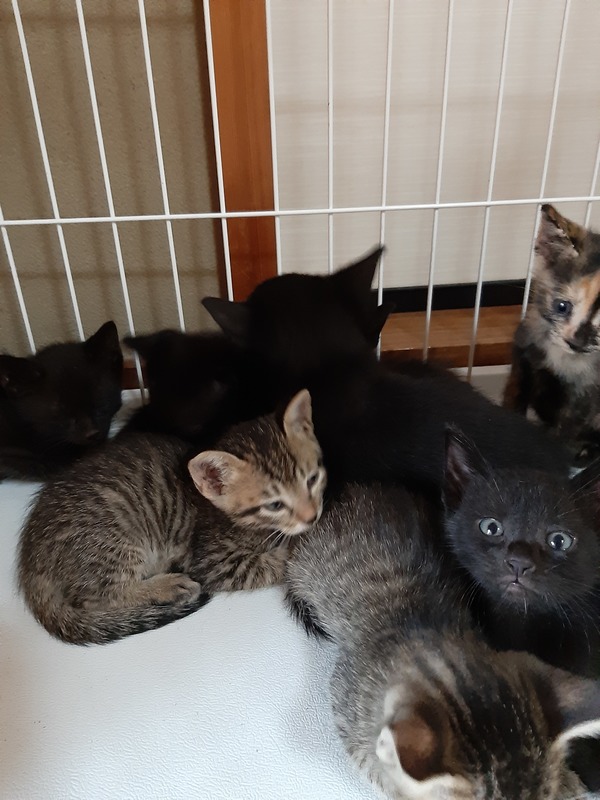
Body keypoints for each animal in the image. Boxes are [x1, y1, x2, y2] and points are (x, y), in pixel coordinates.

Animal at [17, 390, 325, 645]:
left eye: (312, 480)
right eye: (274, 504)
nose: (312, 517)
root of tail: (31, 563)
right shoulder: (213, 562)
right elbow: (272, 563)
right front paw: (293, 547)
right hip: (113, 539)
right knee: (95, 598)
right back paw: (167, 586)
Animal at [503, 204, 600, 465]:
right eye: (562, 306)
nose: (575, 342)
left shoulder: (588, 394)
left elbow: (566, 430)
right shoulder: (524, 353)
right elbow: (514, 398)